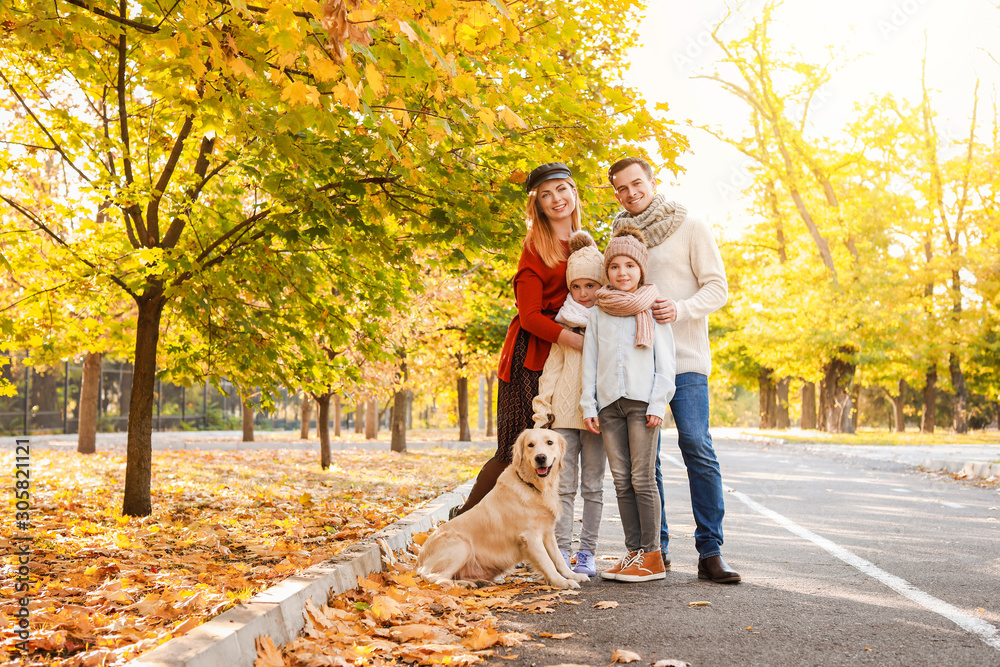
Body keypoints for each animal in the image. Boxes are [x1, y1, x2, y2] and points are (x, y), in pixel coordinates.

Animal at [416, 428, 588, 588]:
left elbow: (558, 559)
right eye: (530, 445)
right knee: (435, 577)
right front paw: (562, 582)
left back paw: (479, 581)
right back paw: (463, 585)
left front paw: (573, 575)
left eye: (549, 442)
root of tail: (419, 561)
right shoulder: (531, 537)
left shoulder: (547, 533)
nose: (540, 458)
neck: (532, 486)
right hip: (461, 546)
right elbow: (548, 562)